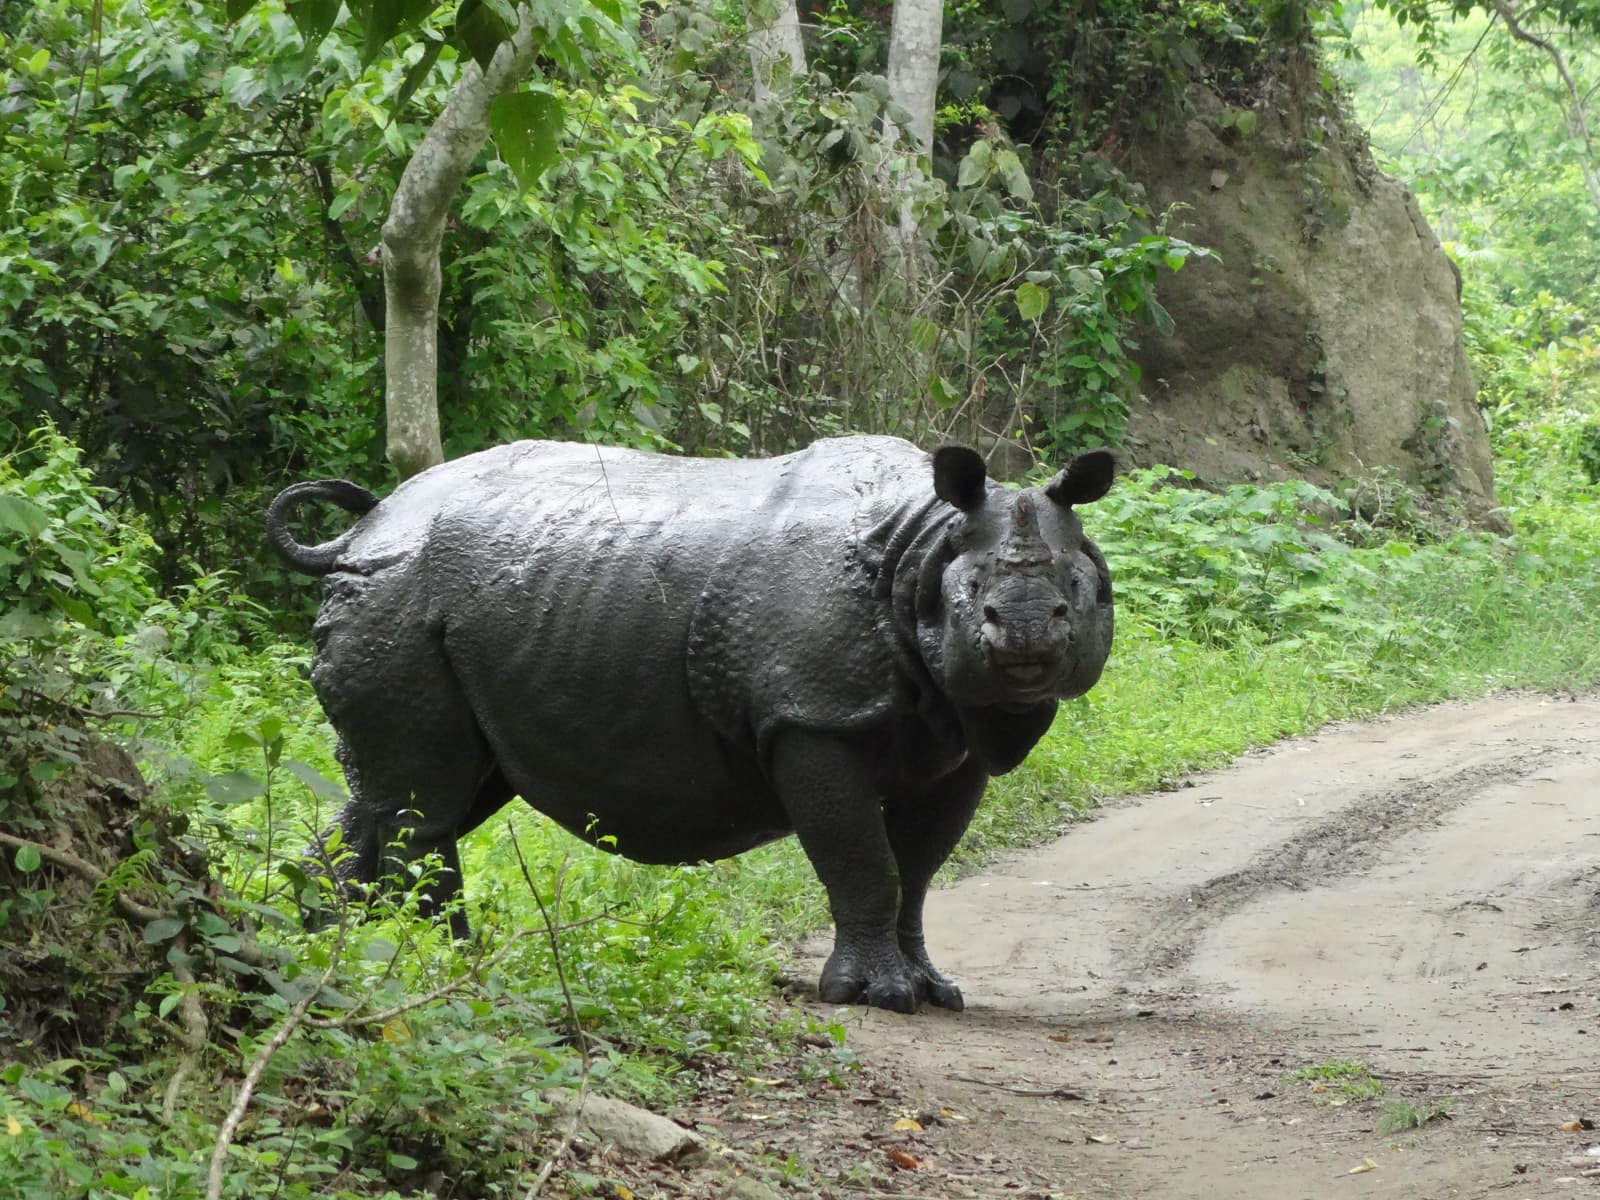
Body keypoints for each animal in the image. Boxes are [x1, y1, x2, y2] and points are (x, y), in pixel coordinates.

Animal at [267, 435, 1115, 1012]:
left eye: (1077, 588)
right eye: (974, 597)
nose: (1027, 635)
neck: (923, 542)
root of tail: (368, 526)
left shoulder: (955, 734)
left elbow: (919, 871)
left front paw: (934, 989)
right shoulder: (810, 718)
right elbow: (862, 861)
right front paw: (877, 997)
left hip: (449, 604)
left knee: (414, 793)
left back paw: (327, 941)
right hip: (400, 598)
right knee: (426, 804)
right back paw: (442, 964)